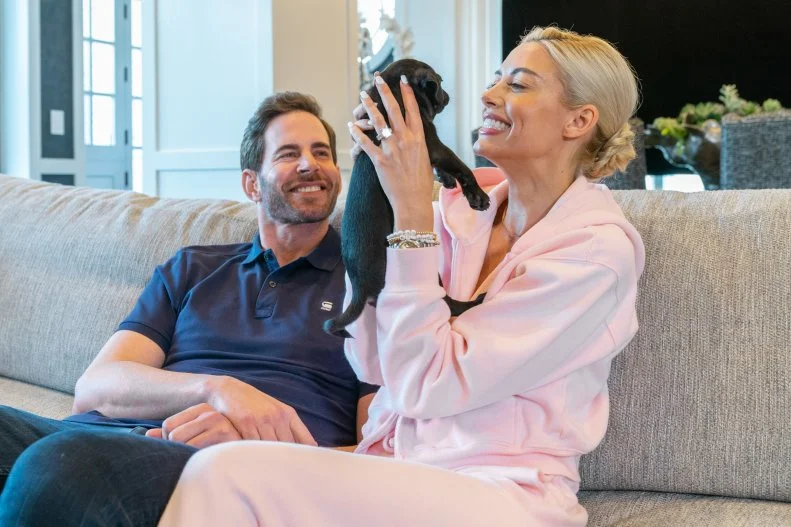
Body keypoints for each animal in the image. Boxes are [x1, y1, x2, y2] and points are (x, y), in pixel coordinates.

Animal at [322, 57, 488, 338]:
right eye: (439, 83)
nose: (447, 95)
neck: (391, 92)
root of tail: (359, 285)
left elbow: (447, 167)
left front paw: (446, 179)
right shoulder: (432, 142)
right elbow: (461, 165)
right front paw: (477, 195)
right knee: (449, 305)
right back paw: (473, 302)